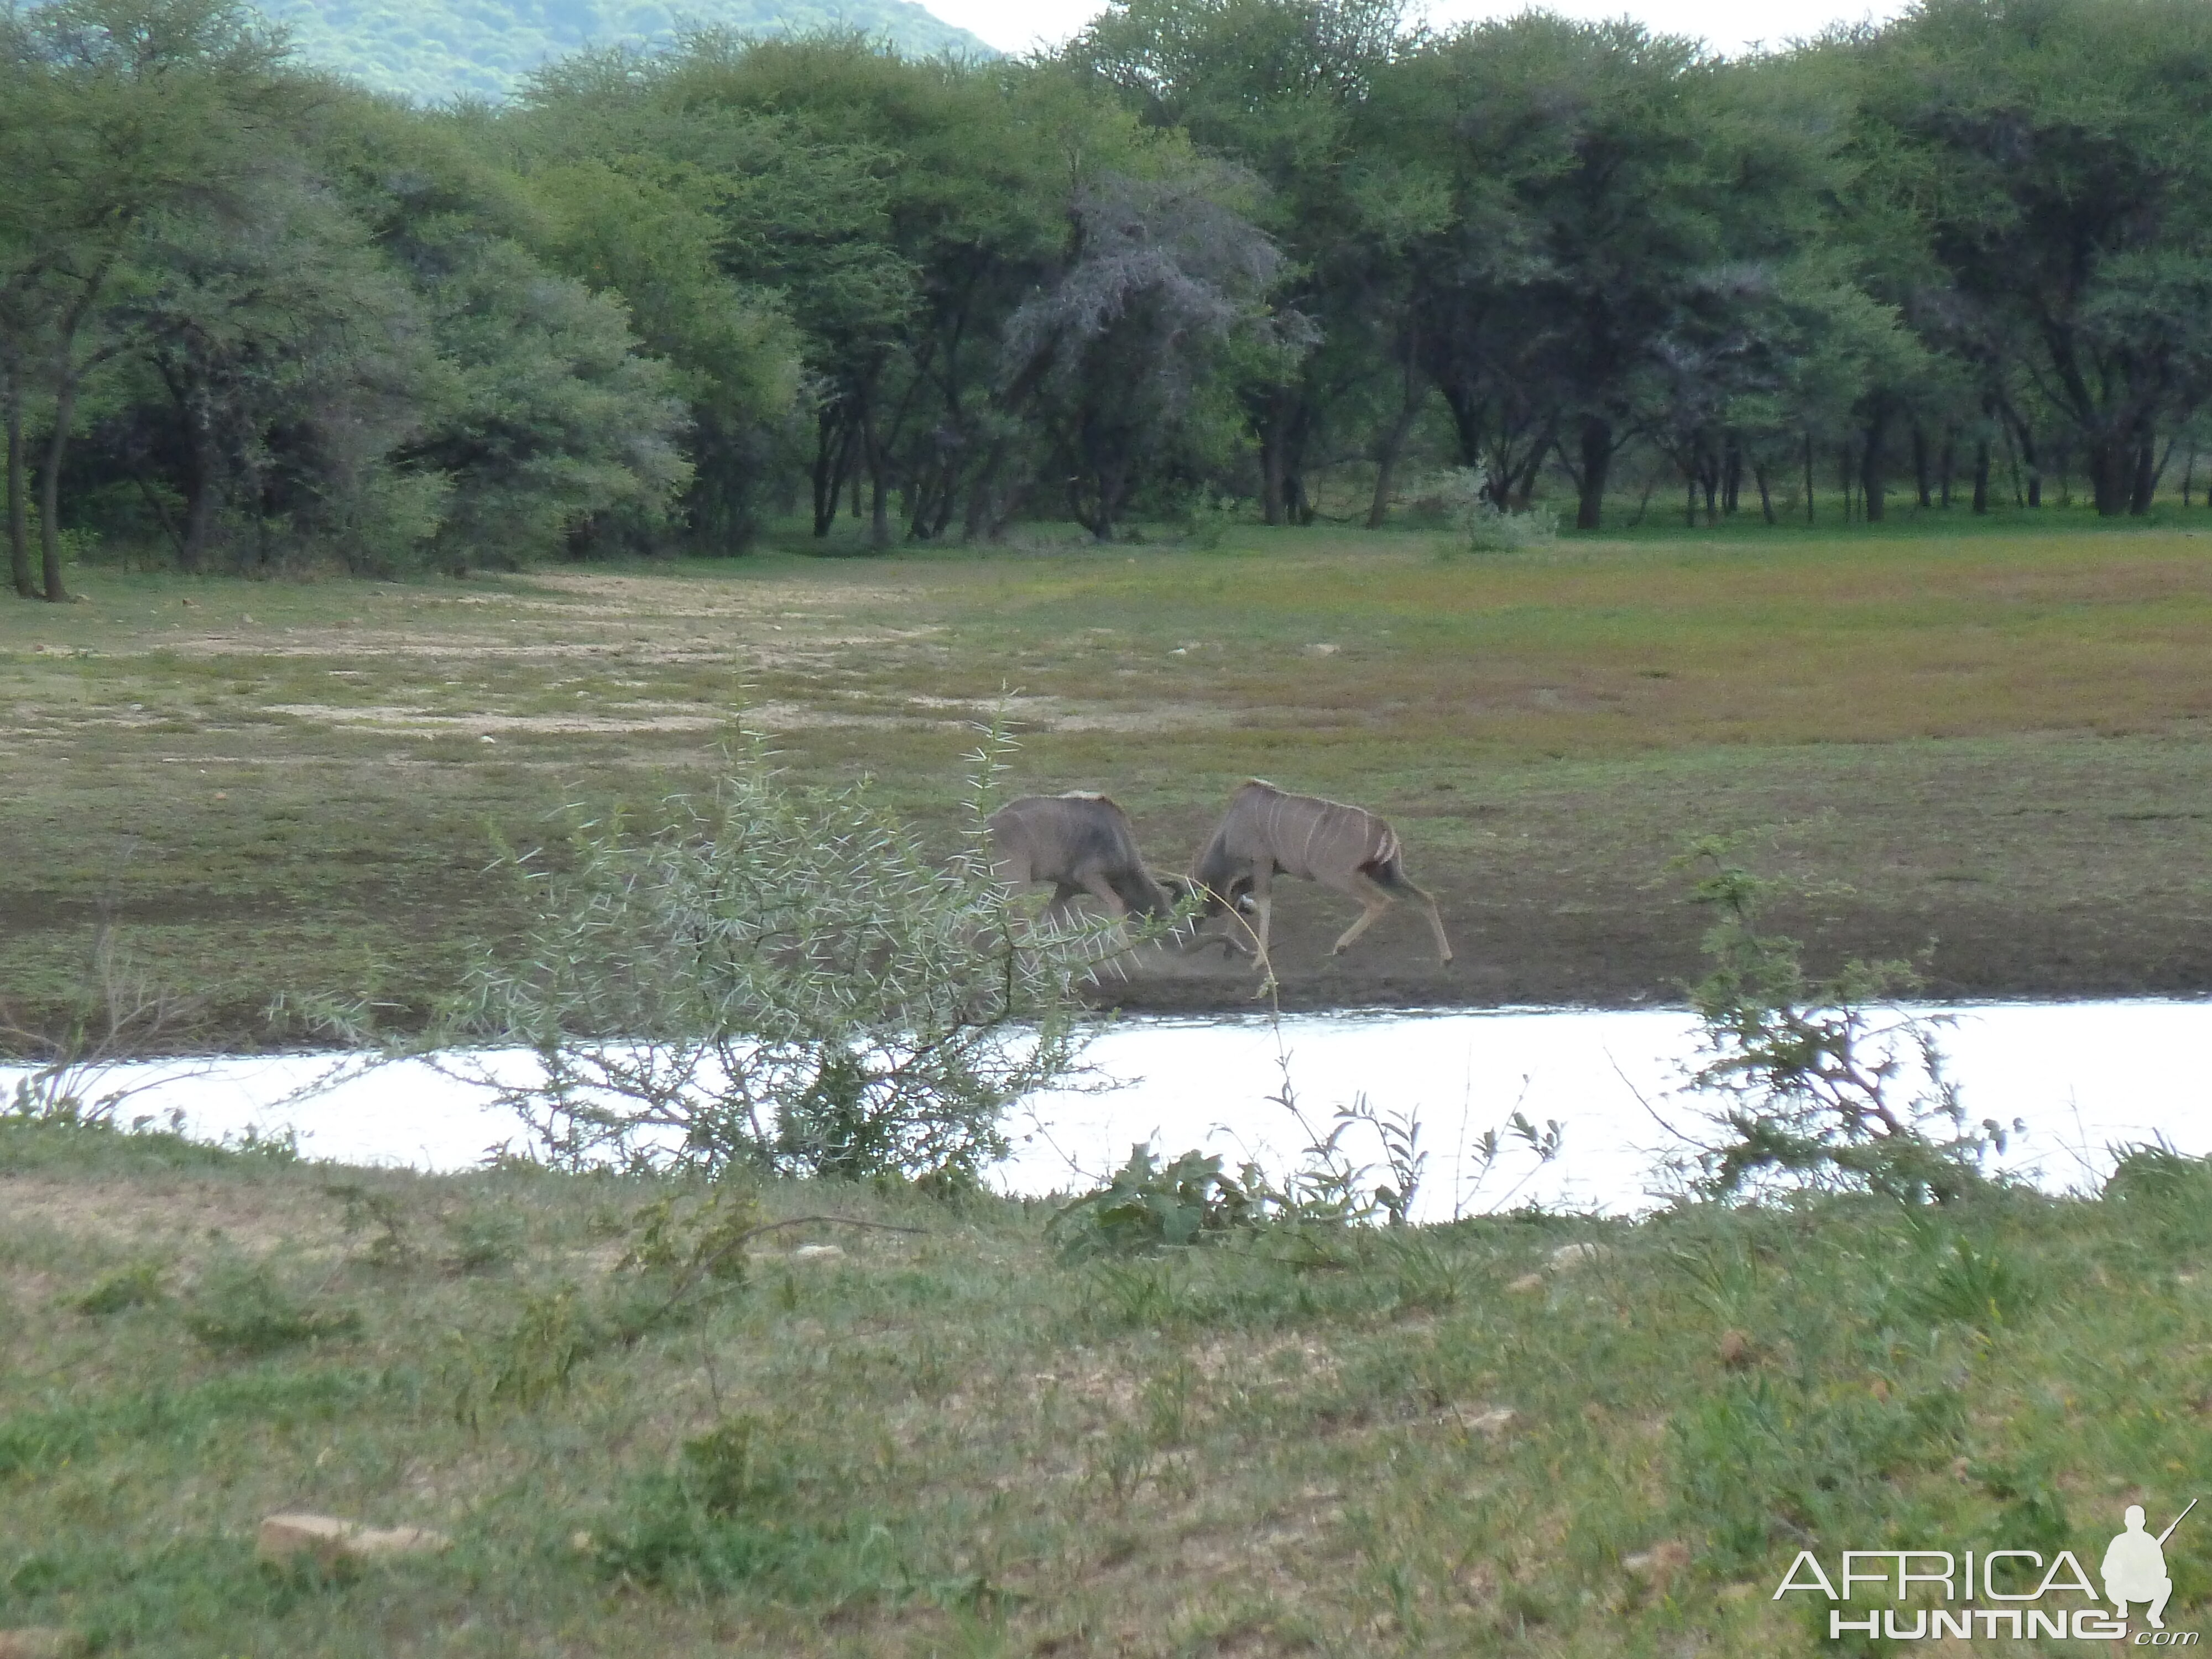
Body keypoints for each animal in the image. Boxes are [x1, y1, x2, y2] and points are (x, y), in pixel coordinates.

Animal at [1194, 779, 1451, 973]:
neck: (1229, 829)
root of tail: (1385, 828)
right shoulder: (1273, 869)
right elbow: (1237, 894)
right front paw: (1229, 951)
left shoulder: (1262, 862)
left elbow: (1263, 902)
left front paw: (1258, 961)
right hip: (1386, 873)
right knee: (1425, 898)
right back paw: (1446, 958)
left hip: (1338, 876)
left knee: (1380, 901)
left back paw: (1340, 947)